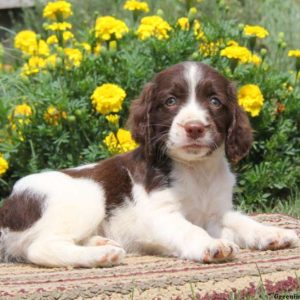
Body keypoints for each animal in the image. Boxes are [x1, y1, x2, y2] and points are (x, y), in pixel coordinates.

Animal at [0, 61, 298, 268]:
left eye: (215, 101)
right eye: (170, 101)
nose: (194, 128)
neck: (196, 171)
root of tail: (9, 203)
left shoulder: (217, 212)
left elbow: (245, 221)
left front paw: (274, 233)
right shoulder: (159, 214)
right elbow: (189, 228)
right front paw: (212, 246)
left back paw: (100, 242)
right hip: (87, 195)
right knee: (39, 248)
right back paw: (102, 254)